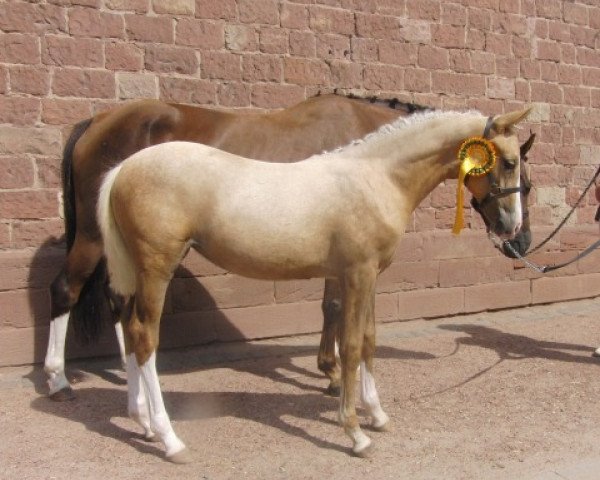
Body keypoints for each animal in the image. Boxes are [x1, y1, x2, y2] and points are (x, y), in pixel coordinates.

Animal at [96, 107, 528, 460]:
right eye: (509, 162)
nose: (512, 229)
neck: (376, 177)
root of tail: (123, 169)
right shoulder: (356, 274)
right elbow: (350, 347)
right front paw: (354, 432)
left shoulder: (369, 277)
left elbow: (369, 341)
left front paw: (377, 414)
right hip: (156, 269)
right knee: (145, 337)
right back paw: (169, 439)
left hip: (137, 273)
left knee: (129, 331)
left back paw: (143, 423)